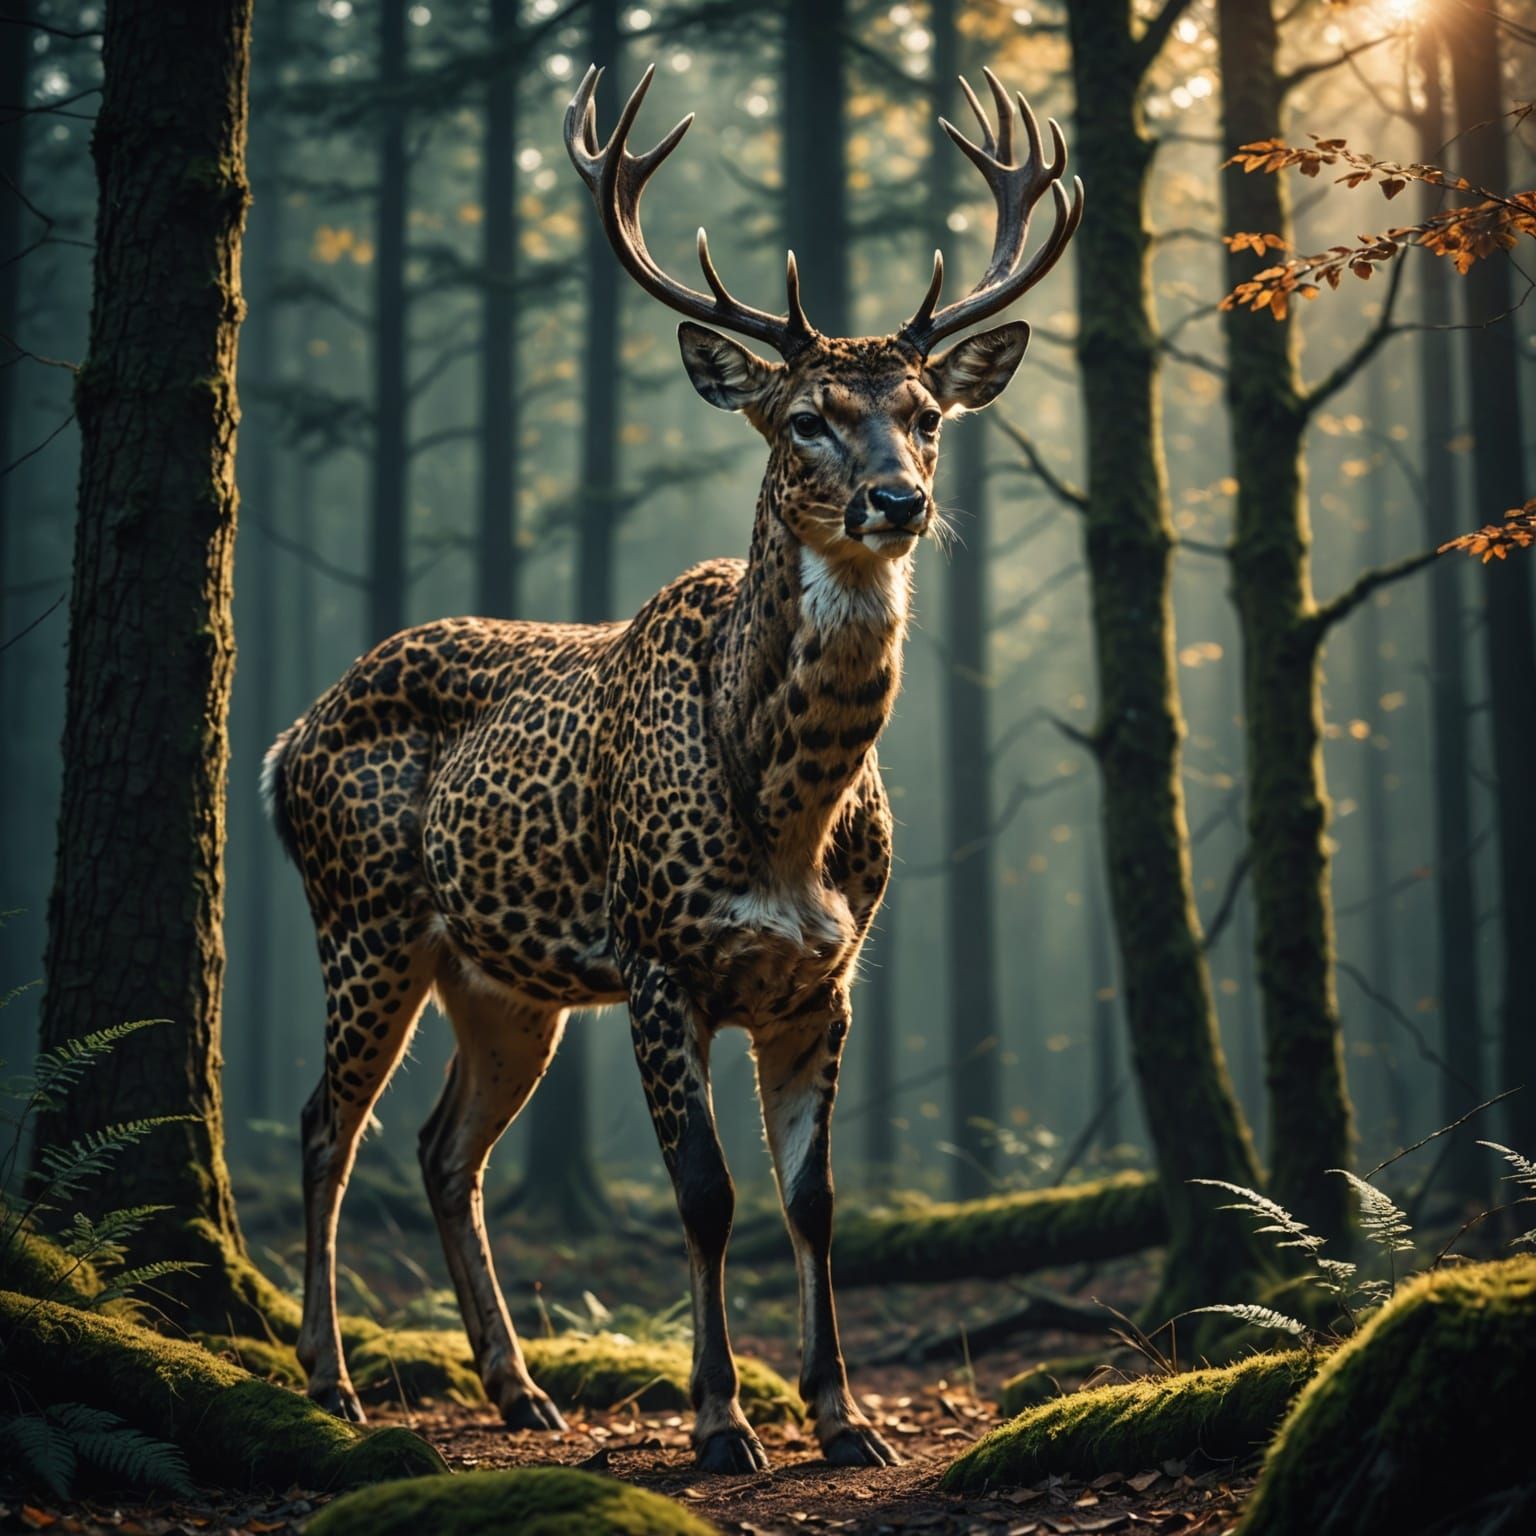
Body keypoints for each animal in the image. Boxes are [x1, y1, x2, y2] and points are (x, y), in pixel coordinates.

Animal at [263, 63, 1081, 1472]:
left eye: (925, 415)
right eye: (806, 419)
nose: (900, 500)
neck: (789, 818)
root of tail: (280, 746)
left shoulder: (824, 979)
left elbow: (813, 1200)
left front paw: (842, 1418)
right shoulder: (659, 958)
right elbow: (706, 1194)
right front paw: (719, 1421)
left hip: (505, 982)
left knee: (440, 1148)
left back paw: (519, 1390)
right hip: (365, 919)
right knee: (328, 1126)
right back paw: (335, 1383)